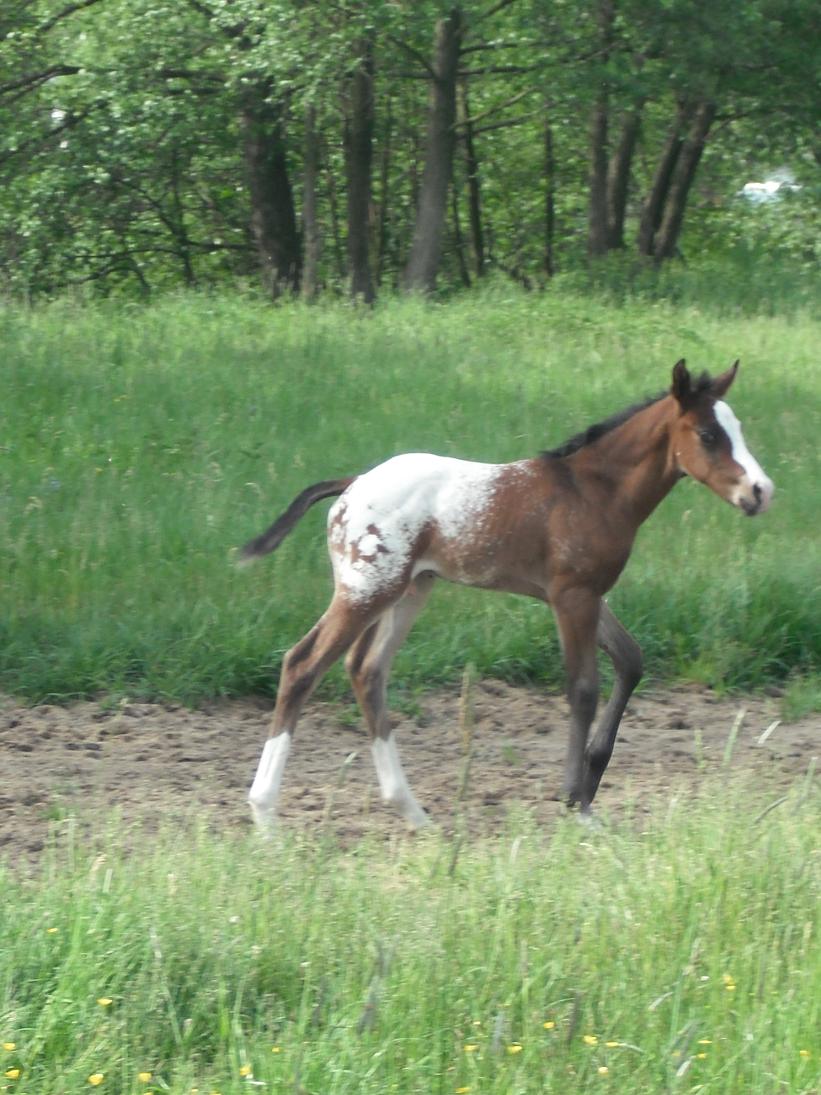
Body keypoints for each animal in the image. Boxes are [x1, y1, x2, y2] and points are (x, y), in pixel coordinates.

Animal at [240, 363, 775, 823]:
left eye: (739, 429)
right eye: (708, 435)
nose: (761, 491)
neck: (592, 491)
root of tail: (352, 485)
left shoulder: (584, 594)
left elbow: (631, 660)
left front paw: (592, 777)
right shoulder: (571, 596)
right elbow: (583, 688)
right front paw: (576, 803)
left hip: (409, 590)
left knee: (367, 671)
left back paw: (412, 813)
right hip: (368, 589)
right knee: (303, 665)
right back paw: (266, 816)